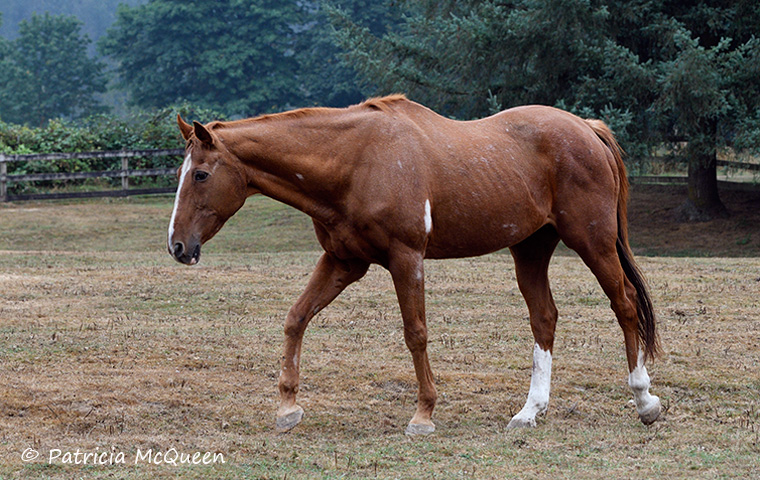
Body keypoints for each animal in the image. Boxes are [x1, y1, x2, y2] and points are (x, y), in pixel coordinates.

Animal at [166, 94, 660, 436]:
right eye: (180, 173)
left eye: (201, 174)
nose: (177, 246)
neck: (356, 160)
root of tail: (585, 128)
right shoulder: (344, 261)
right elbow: (296, 318)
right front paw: (287, 406)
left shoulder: (406, 258)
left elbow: (415, 333)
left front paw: (423, 414)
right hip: (531, 250)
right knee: (545, 318)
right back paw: (529, 412)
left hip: (593, 241)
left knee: (624, 303)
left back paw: (644, 400)